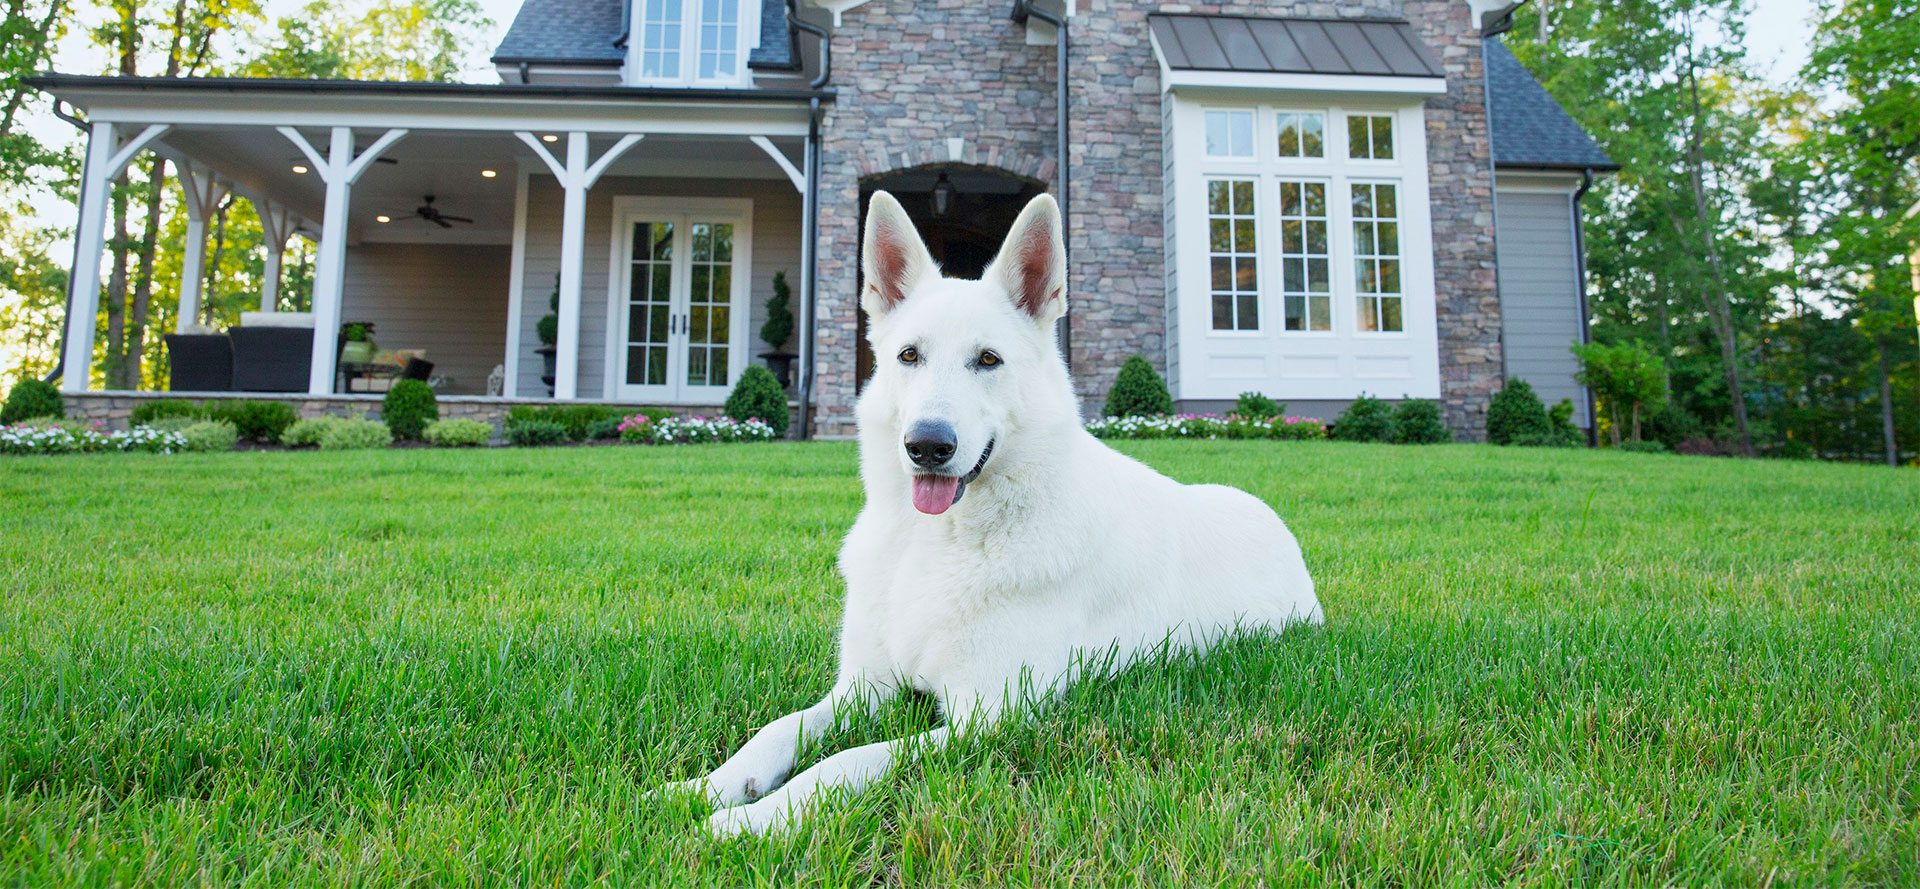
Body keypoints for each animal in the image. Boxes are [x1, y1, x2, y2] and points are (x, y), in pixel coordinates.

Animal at [672, 191, 1320, 837]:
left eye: (988, 360)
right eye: (909, 355)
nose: (928, 445)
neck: (937, 543)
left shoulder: (980, 720)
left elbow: (846, 760)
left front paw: (753, 820)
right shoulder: (861, 688)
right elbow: (778, 729)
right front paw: (703, 788)